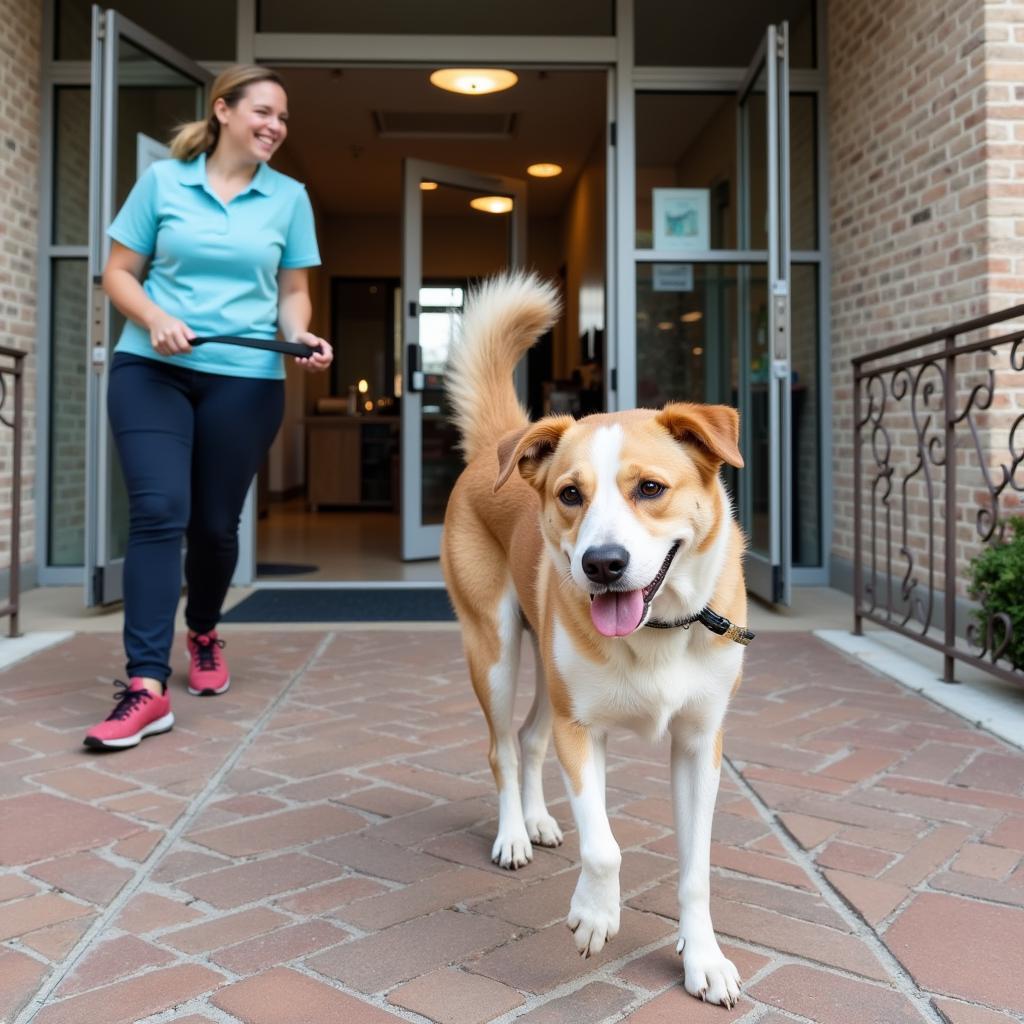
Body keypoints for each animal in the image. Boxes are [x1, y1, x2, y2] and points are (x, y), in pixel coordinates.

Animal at [442, 272, 753, 1007]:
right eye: (570, 494)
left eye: (651, 488)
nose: (603, 564)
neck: (660, 631)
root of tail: (501, 443)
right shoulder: (582, 729)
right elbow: (604, 845)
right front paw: (594, 914)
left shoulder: (699, 743)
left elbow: (695, 868)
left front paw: (703, 958)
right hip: (495, 649)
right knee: (502, 747)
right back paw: (513, 836)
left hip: (545, 667)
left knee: (529, 738)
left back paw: (536, 820)